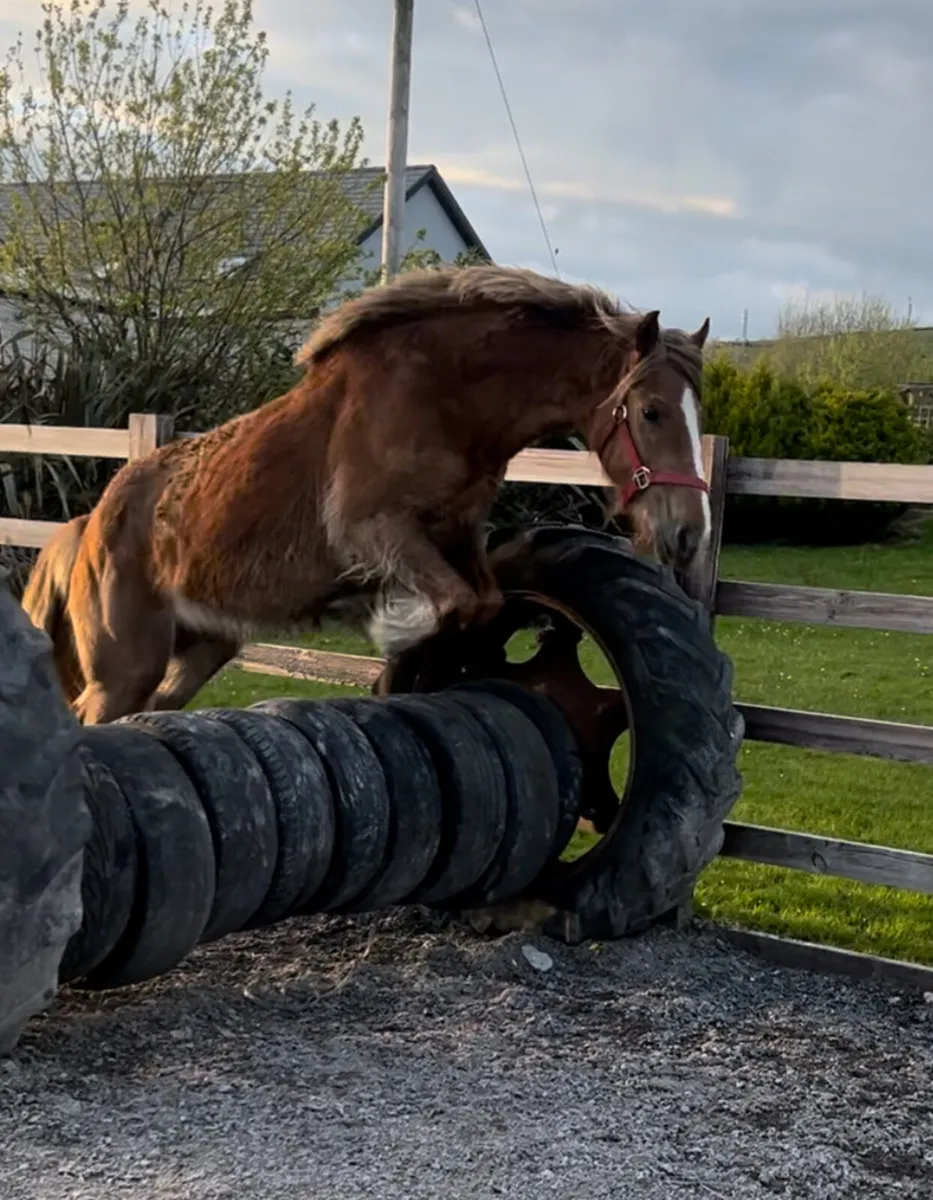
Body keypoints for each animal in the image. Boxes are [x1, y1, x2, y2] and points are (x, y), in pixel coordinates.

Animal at [21, 264, 712, 725]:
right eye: (651, 412)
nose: (687, 534)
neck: (444, 397)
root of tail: (89, 524)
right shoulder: (375, 531)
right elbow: (453, 603)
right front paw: (390, 631)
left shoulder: (460, 536)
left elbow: (482, 602)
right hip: (124, 667)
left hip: (201, 649)